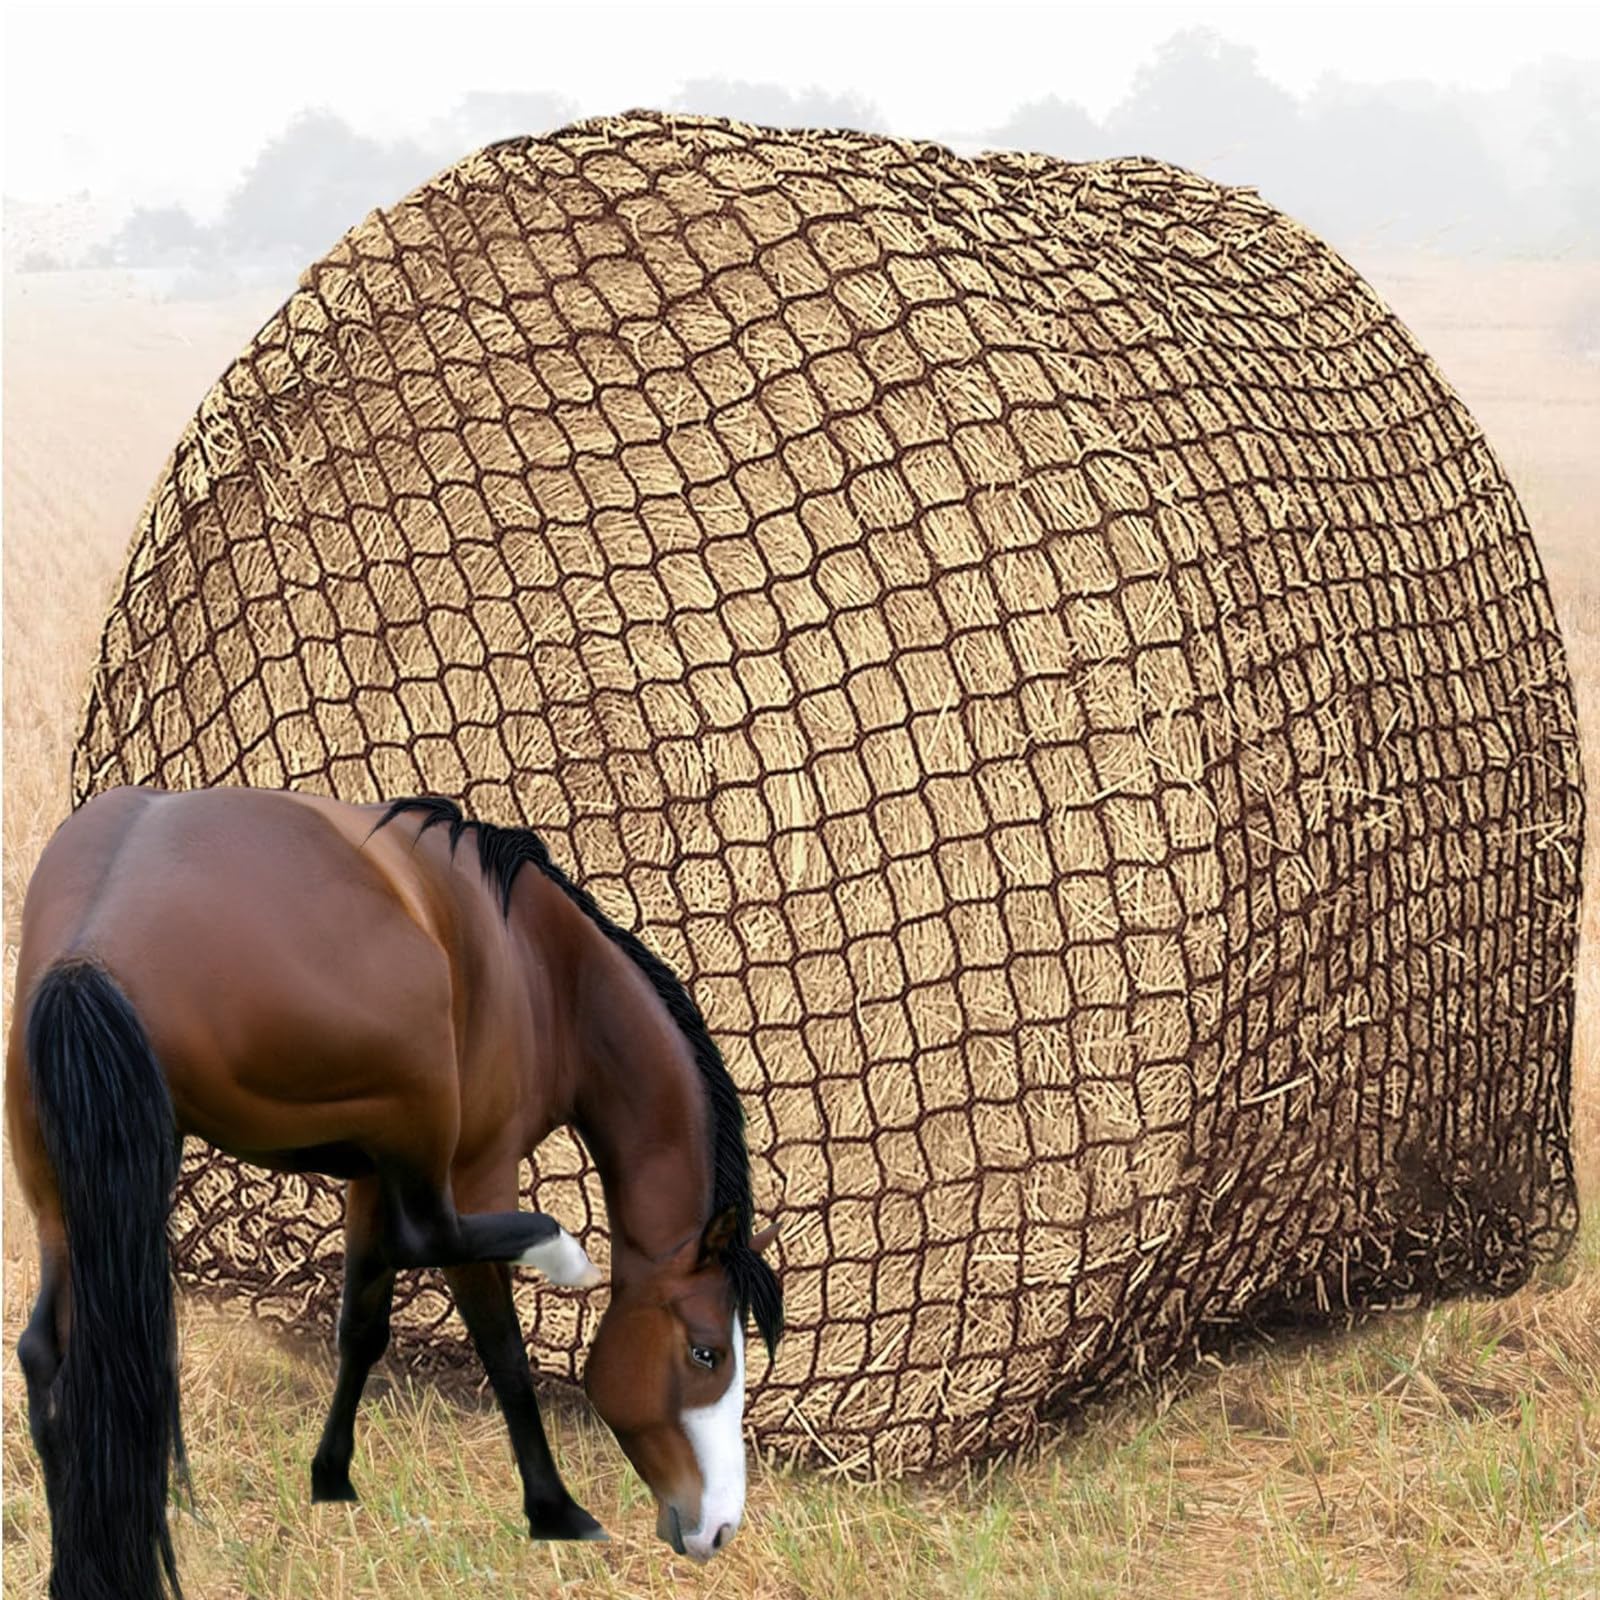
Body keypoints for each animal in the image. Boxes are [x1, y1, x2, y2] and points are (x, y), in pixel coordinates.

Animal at [6, 783, 784, 1599]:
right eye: (707, 1354)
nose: (718, 1527)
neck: (546, 967)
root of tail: (94, 947)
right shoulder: (474, 1162)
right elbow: (503, 1350)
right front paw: (554, 1510)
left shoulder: (370, 1174)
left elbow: (362, 1328)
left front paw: (331, 1476)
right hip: (421, 1093)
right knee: (433, 1232)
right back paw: (562, 1252)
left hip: (65, 1197)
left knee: (47, 1355)